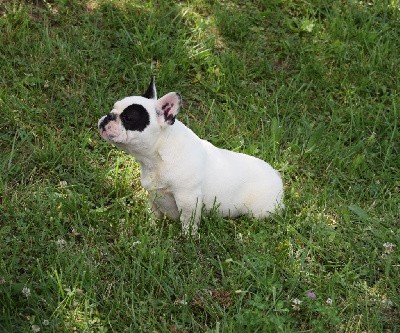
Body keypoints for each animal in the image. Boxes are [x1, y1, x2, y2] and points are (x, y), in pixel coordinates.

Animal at [98, 77, 282, 235]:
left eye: (129, 118)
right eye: (113, 108)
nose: (108, 116)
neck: (157, 155)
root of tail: (277, 178)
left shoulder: (187, 198)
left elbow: (188, 220)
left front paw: (188, 237)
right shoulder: (153, 195)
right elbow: (153, 212)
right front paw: (151, 227)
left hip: (260, 210)